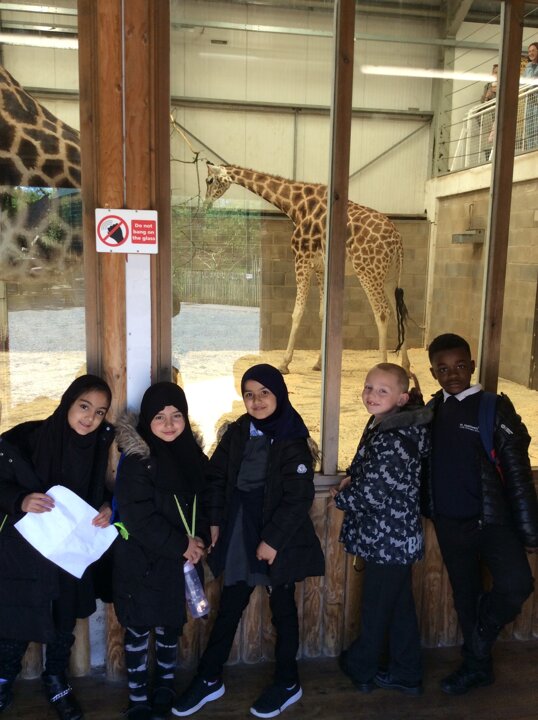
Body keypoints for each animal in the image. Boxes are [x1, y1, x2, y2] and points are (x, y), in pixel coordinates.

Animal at [205, 162, 410, 374]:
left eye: (209, 180)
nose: (206, 203)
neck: (296, 206)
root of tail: (397, 239)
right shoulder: (320, 268)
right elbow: (322, 314)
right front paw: (319, 363)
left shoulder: (301, 259)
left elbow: (297, 311)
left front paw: (284, 363)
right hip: (389, 275)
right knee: (400, 311)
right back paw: (406, 366)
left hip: (368, 271)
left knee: (382, 312)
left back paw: (383, 365)